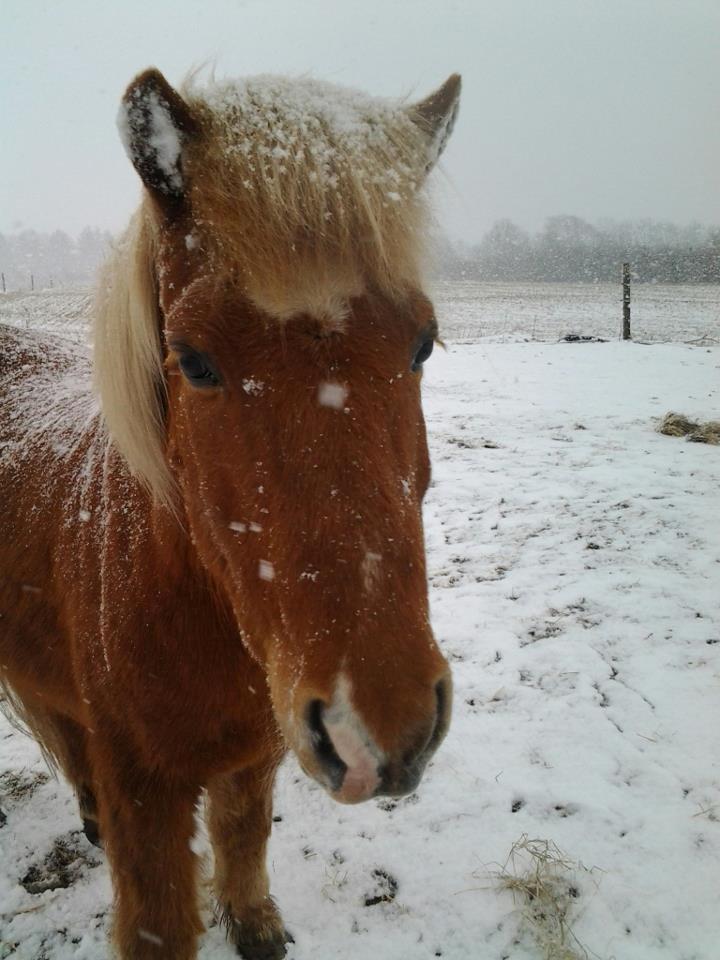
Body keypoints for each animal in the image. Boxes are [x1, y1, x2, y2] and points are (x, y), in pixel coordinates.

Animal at [0, 69, 462, 960]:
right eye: (194, 361)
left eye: (423, 342)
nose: (381, 730)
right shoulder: (145, 789)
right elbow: (159, 922)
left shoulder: (259, 750)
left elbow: (243, 840)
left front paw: (255, 925)